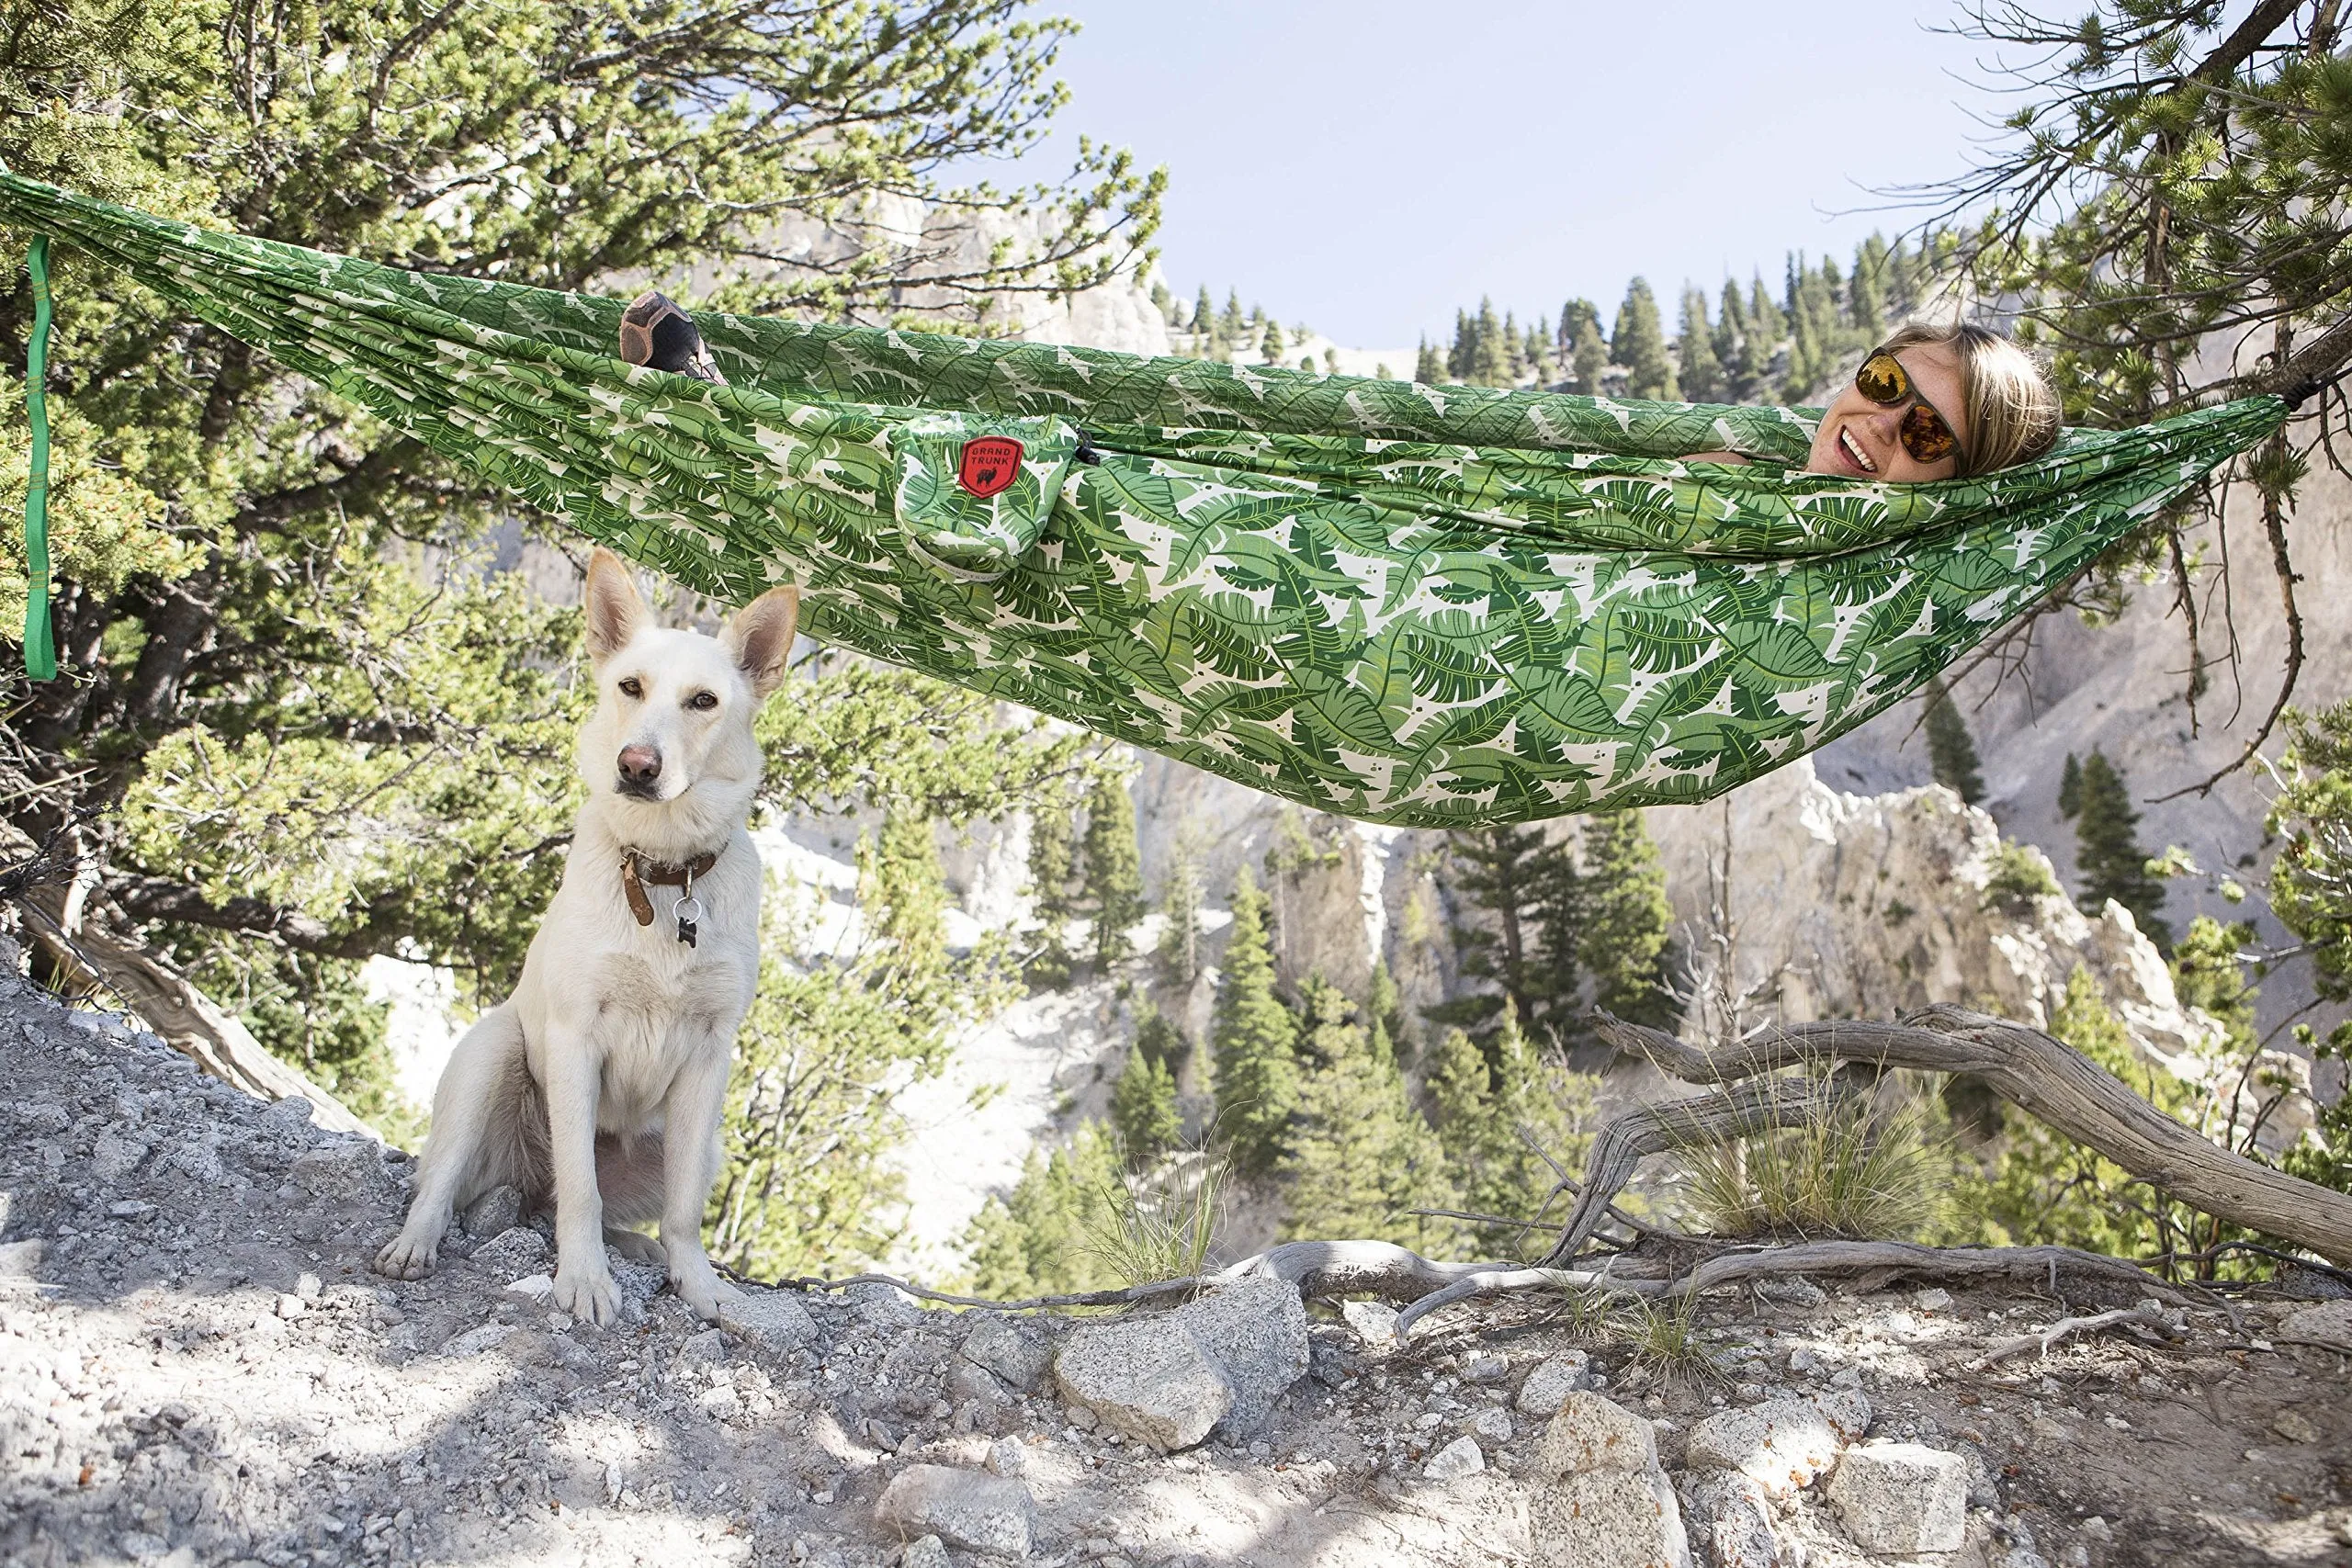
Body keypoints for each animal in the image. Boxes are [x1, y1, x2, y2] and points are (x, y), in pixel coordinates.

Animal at [376, 552, 795, 1325]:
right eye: (630, 686)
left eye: (703, 701)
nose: (637, 765)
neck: (663, 871)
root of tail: (522, 1181)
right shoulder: (576, 1039)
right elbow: (580, 1187)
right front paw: (583, 1280)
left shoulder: (709, 1057)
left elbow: (685, 1211)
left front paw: (699, 1285)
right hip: (492, 1053)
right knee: (449, 1183)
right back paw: (416, 1243)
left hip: (703, 1142)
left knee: (605, 1206)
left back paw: (639, 1248)